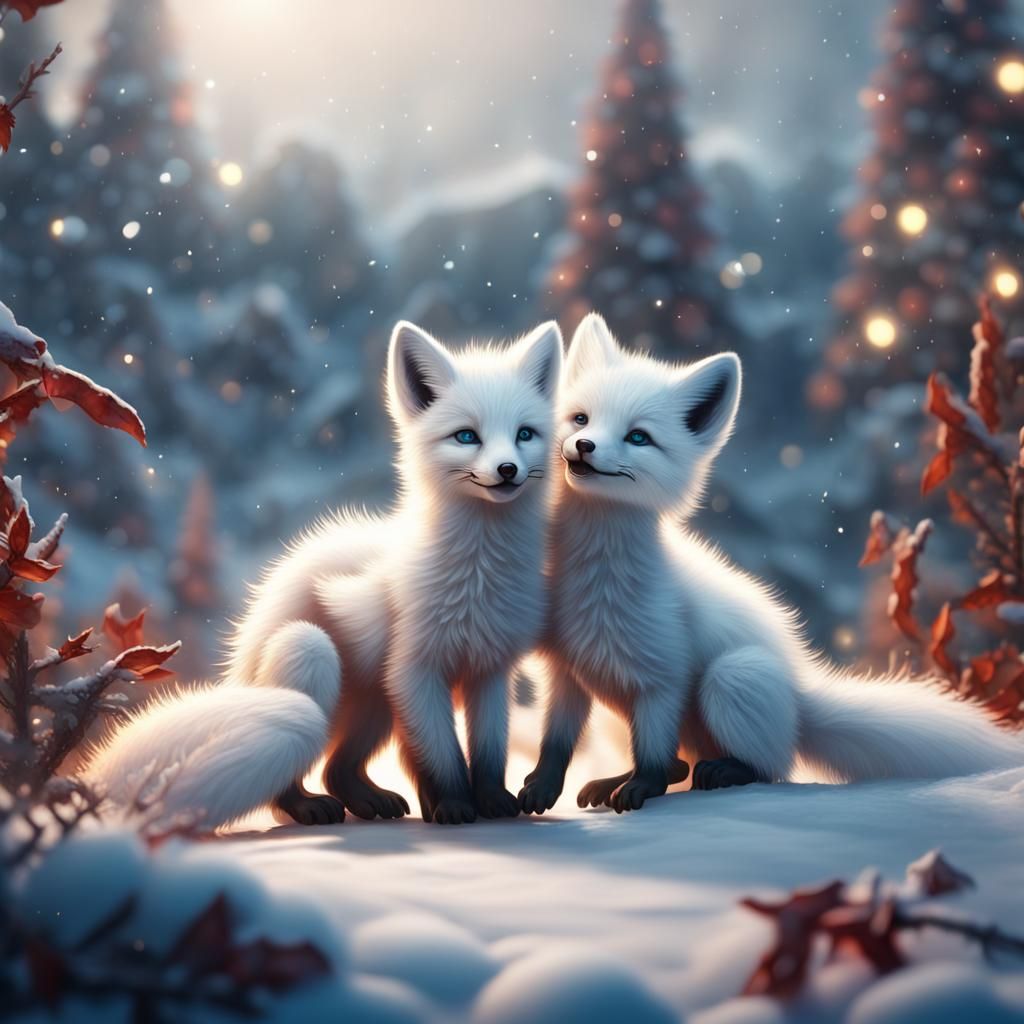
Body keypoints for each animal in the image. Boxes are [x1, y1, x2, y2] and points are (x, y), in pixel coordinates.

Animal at [87, 318, 563, 830]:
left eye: (525, 434)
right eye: (467, 437)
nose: (507, 469)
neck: (479, 575)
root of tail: (239, 663)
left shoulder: (490, 670)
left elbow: (489, 752)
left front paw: (492, 802)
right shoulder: (414, 670)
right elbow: (442, 756)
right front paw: (455, 806)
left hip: (377, 705)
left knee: (339, 769)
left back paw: (377, 801)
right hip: (312, 656)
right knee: (291, 782)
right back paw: (308, 807)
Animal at [518, 312, 1023, 816]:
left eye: (638, 437)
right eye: (581, 418)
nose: (583, 444)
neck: (595, 579)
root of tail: (798, 699)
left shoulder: (663, 679)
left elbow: (654, 761)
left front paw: (640, 788)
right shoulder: (566, 672)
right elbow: (556, 745)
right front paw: (541, 790)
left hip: (731, 678)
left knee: (765, 769)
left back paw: (723, 772)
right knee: (685, 765)